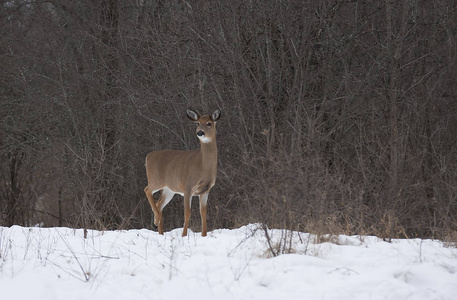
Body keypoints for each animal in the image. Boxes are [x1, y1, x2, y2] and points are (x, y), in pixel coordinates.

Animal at [143, 108, 220, 237]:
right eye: (197, 123)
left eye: (209, 123)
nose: (200, 132)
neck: (203, 166)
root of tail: (148, 157)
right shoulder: (188, 186)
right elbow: (187, 212)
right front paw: (184, 235)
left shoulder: (206, 190)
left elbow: (203, 213)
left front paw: (204, 235)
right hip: (155, 180)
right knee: (147, 190)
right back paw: (156, 221)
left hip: (169, 189)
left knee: (159, 204)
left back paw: (160, 231)